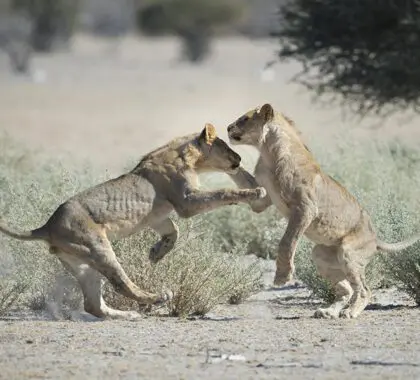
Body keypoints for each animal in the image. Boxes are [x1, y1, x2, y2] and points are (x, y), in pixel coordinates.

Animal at [0, 123, 266, 320]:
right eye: (225, 145)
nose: (239, 157)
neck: (188, 157)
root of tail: (47, 225)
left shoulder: (158, 216)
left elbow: (173, 231)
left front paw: (156, 253)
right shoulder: (187, 201)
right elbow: (222, 193)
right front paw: (254, 192)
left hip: (81, 263)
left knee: (93, 305)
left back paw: (127, 315)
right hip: (97, 246)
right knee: (121, 285)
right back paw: (158, 298)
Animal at [228, 103, 418, 318]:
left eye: (244, 119)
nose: (227, 128)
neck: (268, 152)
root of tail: (376, 239)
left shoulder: (306, 208)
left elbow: (287, 242)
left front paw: (282, 276)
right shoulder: (262, 200)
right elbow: (242, 179)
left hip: (349, 252)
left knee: (364, 289)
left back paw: (349, 312)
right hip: (320, 254)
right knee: (346, 290)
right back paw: (328, 312)